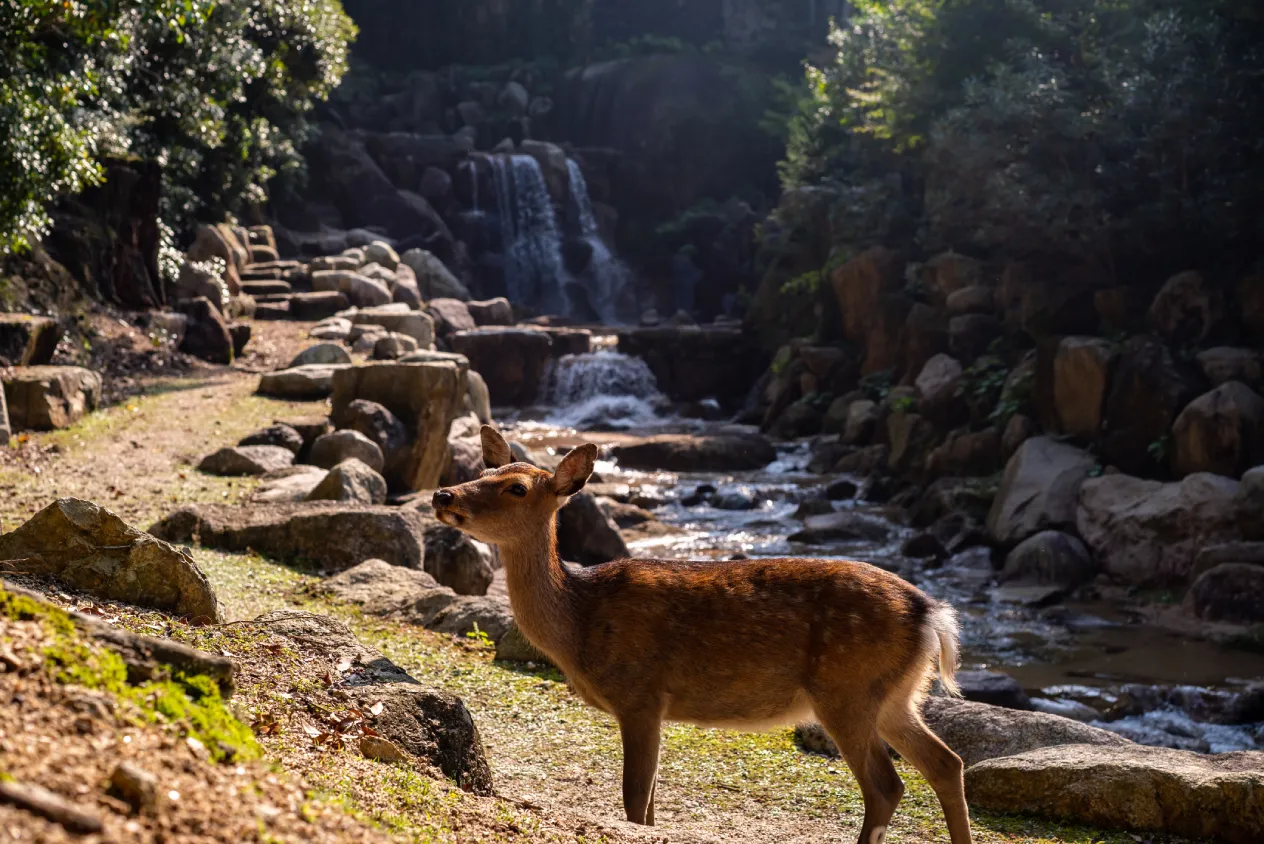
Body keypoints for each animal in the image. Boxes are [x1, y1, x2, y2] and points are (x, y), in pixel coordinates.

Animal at [431, 426, 973, 844]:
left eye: (518, 488)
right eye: (483, 473)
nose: (443, 495)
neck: (579, 623)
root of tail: (933, 616)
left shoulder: (641, 694)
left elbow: (634, 801)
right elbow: (649, 804)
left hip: (846, 688)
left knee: (886, 785)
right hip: (896, 695)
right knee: (946, 763)